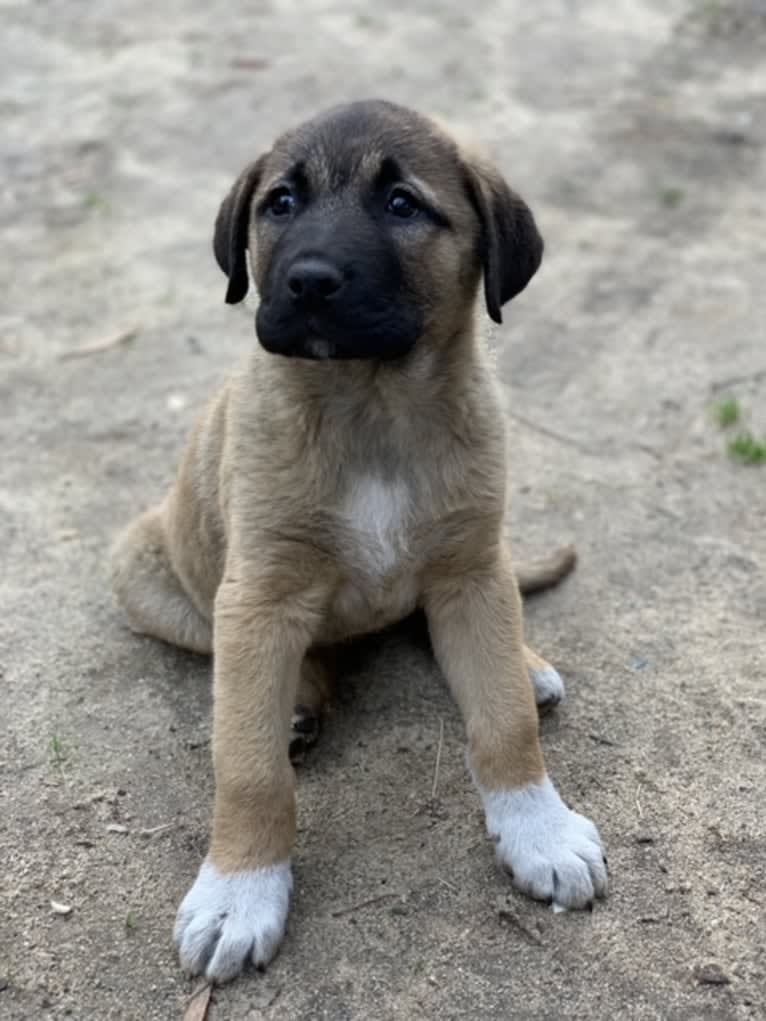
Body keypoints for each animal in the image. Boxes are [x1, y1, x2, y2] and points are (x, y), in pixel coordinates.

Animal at [110, 99, 608, 984]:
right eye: (280, 203)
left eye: (403, 204)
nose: (308, 280)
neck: (371, 404)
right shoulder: (260, 595)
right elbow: (249, 770)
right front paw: (240, 890)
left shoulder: (472, 571)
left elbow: (503, 721)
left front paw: (539, 829)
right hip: (145, 568)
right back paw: (300, 702)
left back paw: (524, 661)